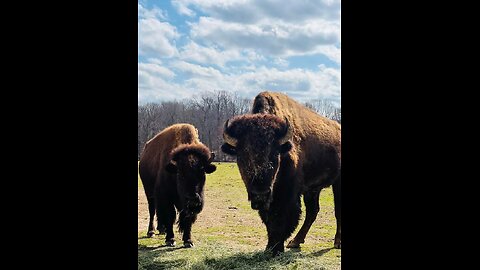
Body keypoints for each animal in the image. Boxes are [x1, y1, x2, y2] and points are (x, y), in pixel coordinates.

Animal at [222, 92, 342, 254]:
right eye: (242, 156)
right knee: (313, 211)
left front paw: (276, 248)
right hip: (313, 189)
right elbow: (269, 219)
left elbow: (282, 217)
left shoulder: (287, 193)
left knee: (337, 211)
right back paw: (295, 242)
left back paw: (337, 242)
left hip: (338, 182)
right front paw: (270, 247)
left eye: (274, 155)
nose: (260, 194)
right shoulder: (271, 197)